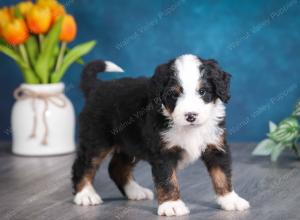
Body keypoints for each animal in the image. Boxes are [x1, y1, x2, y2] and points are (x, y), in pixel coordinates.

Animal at [71, 54, 250, 216]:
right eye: (174, 94)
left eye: (202, 91)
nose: (190, 116)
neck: (189, 128)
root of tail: (97, 86)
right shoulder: (163, 152)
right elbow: (167, 179)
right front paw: (172, 205)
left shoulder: (216, 145)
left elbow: (222, 174)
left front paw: (230, 199)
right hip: (97, 139)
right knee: (84, 165)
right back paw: (85, 195)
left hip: (130, 144)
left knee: (116, 168)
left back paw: (135, 191)